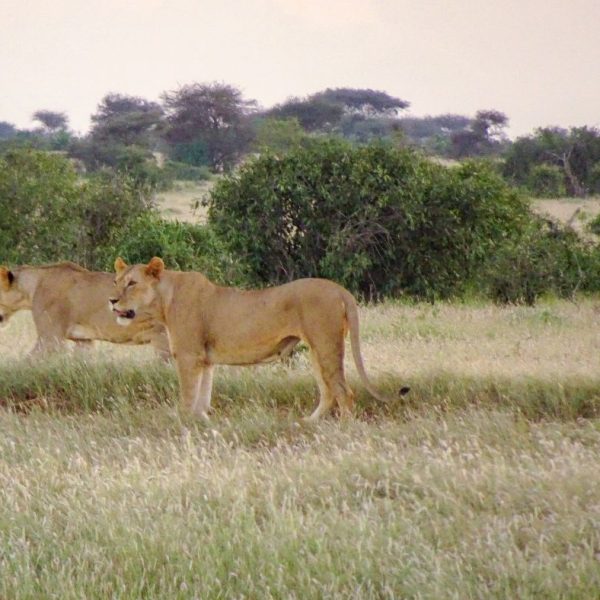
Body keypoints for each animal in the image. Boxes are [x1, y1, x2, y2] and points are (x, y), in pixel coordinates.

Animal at [109, 255, 408, 420]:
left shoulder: (188, 356)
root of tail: (340, 290)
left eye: (132, 283)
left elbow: (187, 397)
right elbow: (202, 398)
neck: (164, 300)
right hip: (317, 350)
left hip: (326, 345)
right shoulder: (205, 360)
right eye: (116, 281)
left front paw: (181, 425)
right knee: (328, 393)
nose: (111, 300)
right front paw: (203, 423)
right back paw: (306, 423)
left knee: (345, 393)